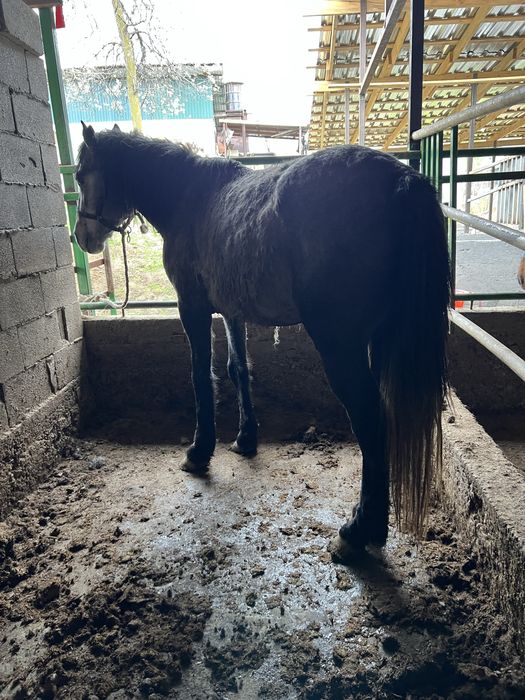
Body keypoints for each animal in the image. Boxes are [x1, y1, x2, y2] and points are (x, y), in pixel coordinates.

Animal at [74, 123, 450, 560]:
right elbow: (239, 371)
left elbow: (200, 376)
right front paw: (245, 439)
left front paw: (199, 453)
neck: (189, 196)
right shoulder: (231, 310)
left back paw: (356, 532)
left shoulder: (192, 306)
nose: (82, 237)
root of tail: (403, 179)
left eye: (80, 175)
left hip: (341, 344)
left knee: (369, 421)